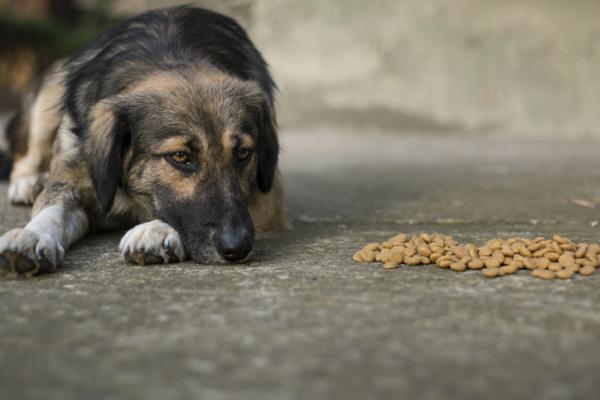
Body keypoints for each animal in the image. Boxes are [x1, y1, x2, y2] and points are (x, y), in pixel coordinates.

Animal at [0, 4, 286, 276]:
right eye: (180, 156)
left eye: (243, 154)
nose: (238, 247)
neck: (173, 56)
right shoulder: (74, 178)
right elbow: (51, 210)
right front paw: (32, 235)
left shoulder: (268, 196)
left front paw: (157, 230)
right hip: (48, 98)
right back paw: (28, 182)